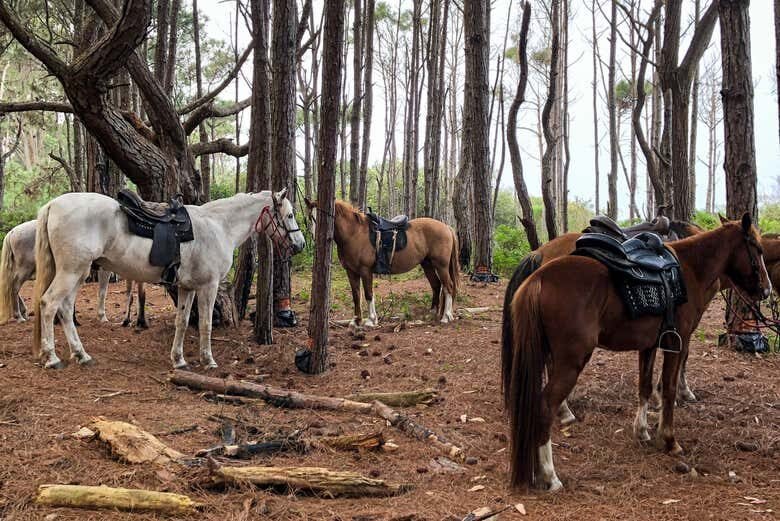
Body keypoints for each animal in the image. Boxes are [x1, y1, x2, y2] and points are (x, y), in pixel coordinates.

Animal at [0, 219, 147, 326]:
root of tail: (12, 232)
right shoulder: (104, 270)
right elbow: (102, 293)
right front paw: (102, 317)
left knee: (12, 288)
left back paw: (23, 313)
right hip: (25, 269)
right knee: (14, 288)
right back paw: (19, 316)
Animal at [32, 189, 304, 370]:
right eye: (290, 215)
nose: (300, 245)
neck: (220, 226)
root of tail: (53, 205)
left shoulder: (187, 288)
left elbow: (182, 322)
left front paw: (179, 359)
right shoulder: (208, 287)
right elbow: (205, 323)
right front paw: (208, 360)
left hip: (77, 273)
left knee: (65, 309)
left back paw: (81, 354)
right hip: (71, 271)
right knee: (49, 304)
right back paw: (52, 357)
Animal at [304, 199, 459, 326]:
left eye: (324, 218)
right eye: (310, 218)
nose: (316, 239)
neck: (354, 234)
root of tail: (447, 227)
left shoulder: (365, 270)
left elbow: (368, 294)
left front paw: (371, 320)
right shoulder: (351, 271)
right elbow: (356, 295)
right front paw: (356, 320)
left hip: (441, 265)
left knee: (448, 287)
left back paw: (446, 316)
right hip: (427, 264)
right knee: (436, 285)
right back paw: (433, 313)